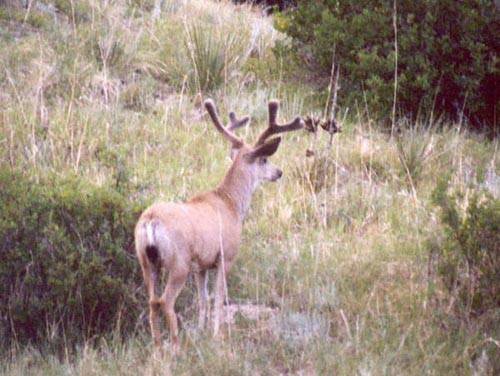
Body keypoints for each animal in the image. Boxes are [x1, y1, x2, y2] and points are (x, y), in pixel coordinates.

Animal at [133, 98, 302, 352]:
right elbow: (219, 300)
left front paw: (202, 332)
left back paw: (157, 346)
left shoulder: (201, 265)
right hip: (178, 262)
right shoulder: (226, 256)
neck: (231, 204)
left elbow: (204, 300)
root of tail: (151, 220)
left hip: (146, 261)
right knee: (166, 301)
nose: (279, 172)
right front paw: (216, 335)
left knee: (152, 301)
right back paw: (175, 346)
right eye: (264, 159)